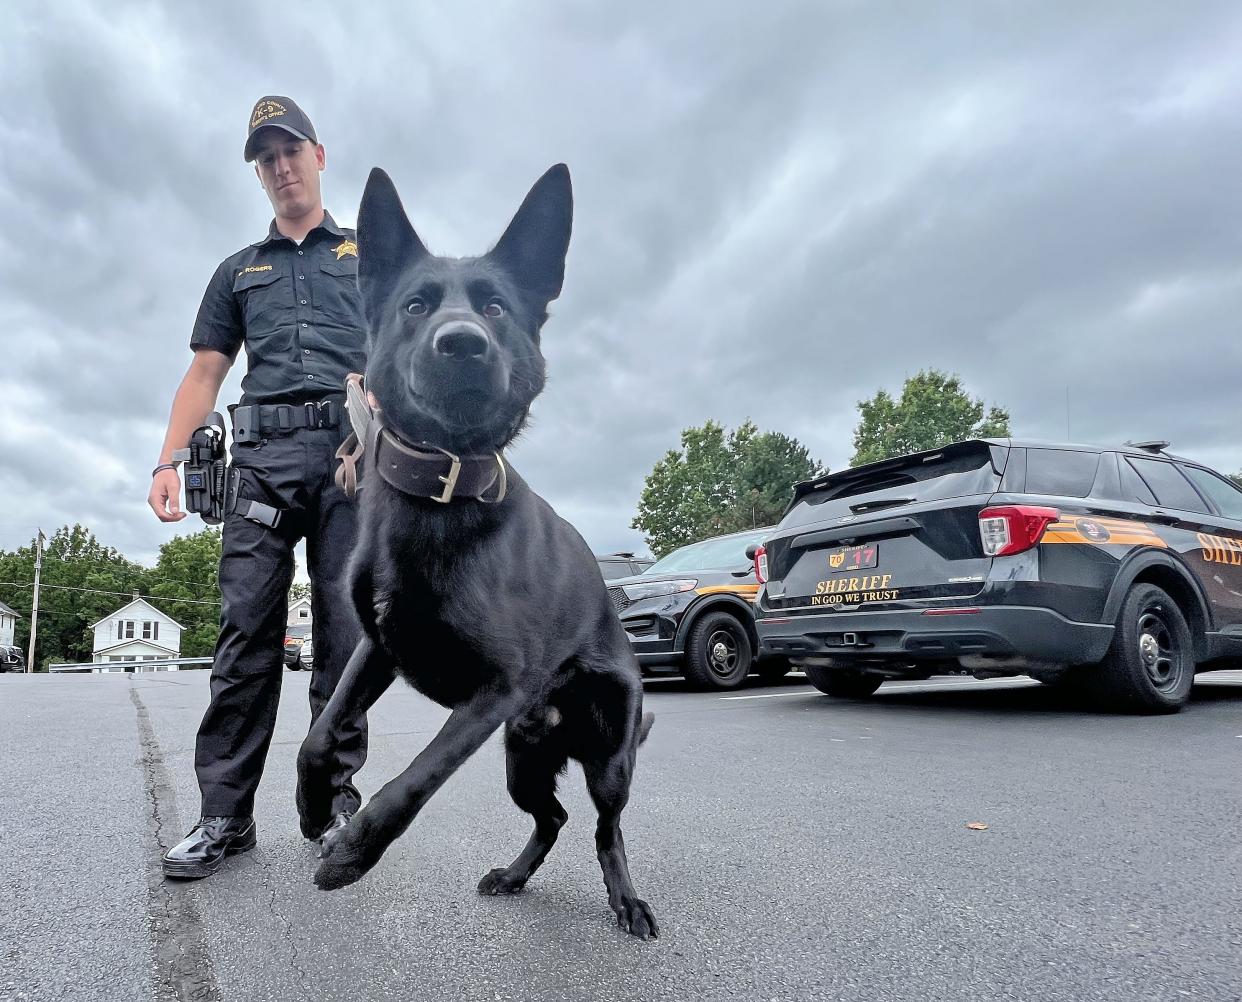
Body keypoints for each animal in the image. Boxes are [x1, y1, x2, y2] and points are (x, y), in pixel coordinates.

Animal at [296, 160, 660, 938]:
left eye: (495, 309)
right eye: (415, 306)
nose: (462, 342)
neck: (442, 491)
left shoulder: (493, 691)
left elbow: (414, 779)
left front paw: (352, 854)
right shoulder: (378, 648)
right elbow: (321, 733)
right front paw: (314, 808)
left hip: (607, 759)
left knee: (604, 827)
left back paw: (627, 899)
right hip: (523, 761)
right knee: (552, 818)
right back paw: (516, 875)